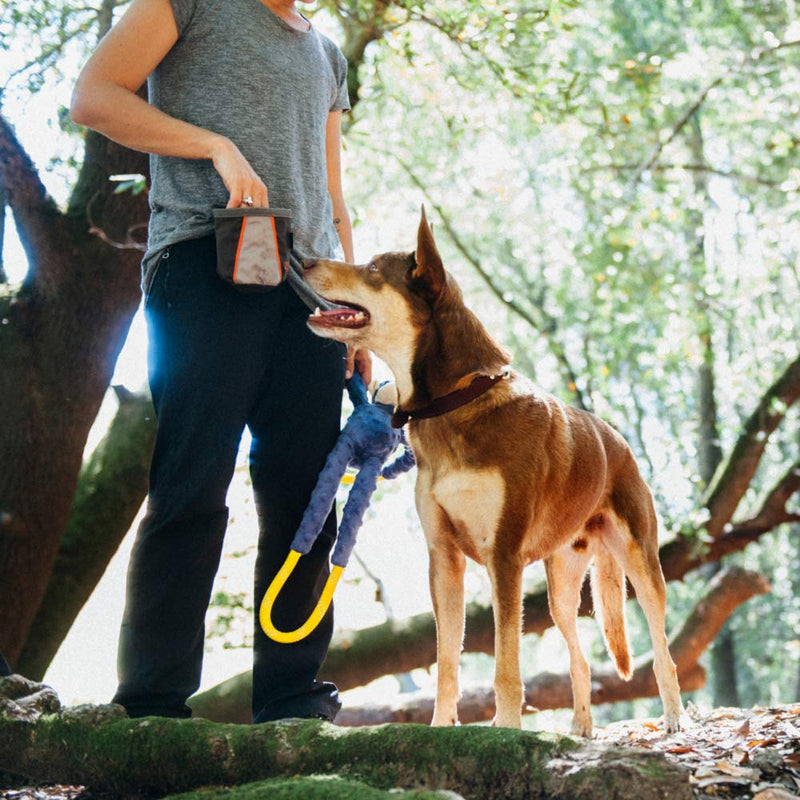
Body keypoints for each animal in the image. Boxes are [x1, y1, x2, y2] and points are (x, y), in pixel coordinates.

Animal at [304, 209, 684, 736]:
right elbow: (447, 662)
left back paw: (673, 718)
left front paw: (505, 729)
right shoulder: (443, 559)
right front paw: (441, 729)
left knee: (663, 650)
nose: (303, 259)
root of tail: (617, 442)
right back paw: (581, 728)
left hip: (640, 563)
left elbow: (506, 666)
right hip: (561, 588)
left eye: (374, 269)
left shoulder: (504, 557)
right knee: (580, 659)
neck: (455, 401)